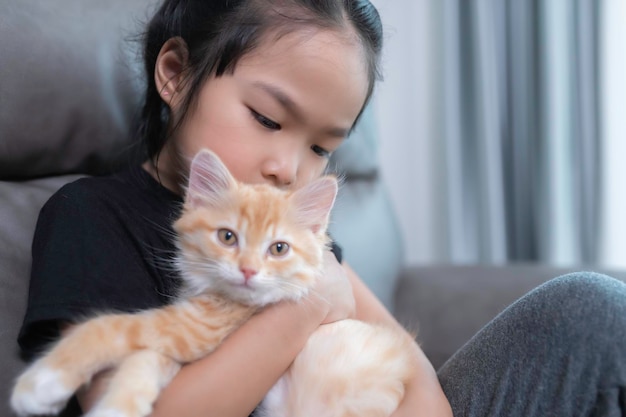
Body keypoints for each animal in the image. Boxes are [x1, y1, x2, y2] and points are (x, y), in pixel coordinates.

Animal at [11, 148, 414, 414]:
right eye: (227, 237)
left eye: (278, 248)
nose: (248, 270)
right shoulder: (185, 336)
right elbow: (143, 359)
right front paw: (117, 406)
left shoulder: (195, 329)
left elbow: (105, 327)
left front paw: (42, 380)